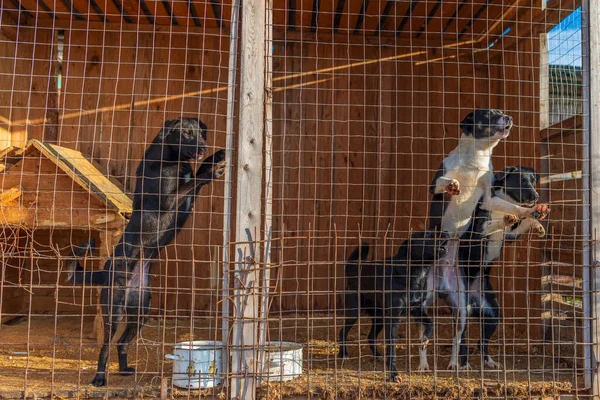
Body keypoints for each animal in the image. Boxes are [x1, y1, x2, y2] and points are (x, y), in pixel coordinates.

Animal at [65, 117, 225, 386]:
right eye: (186, 133)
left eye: (201, 133)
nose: (203, 147)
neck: (171, 157)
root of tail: (105, 271)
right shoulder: (168, 200)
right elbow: (193, 180)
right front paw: (213, 170)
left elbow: (196, 174)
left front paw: (217, 157)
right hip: (114, 308)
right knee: (106, 345)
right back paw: (99, 377)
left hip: (141, 311)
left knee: (122, 343)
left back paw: (124, 369)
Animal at [336, 230, 448, 380]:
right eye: (427, 235)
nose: (446, 232)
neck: (416, 273)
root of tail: (355, 268)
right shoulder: (393, 319)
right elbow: (392, 349)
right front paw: (393, 374)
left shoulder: (417, 309)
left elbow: (431, 323)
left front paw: (424, 339)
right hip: (355, 311)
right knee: (343, 331)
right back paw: (343, 354)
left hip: (380, 317)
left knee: (371, 336)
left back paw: (378, 356)